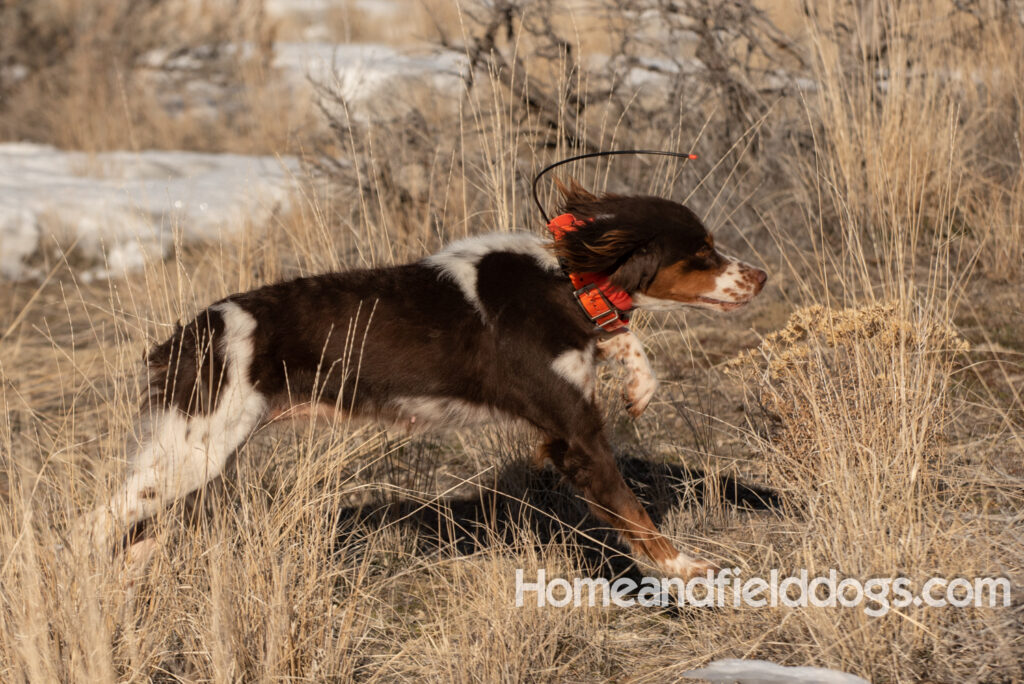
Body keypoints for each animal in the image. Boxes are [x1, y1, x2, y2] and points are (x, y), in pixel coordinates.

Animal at [79, 183, 765, 577]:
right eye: (702, 253)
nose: (760, 277)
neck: (565, 282)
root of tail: (196, 330)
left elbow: (623, 340)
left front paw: (640, 383)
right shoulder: (575, 436)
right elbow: (633, 512)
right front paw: (687, 569)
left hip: (198, 458)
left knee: (137, 533)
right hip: (192, 453)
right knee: (97, 524)